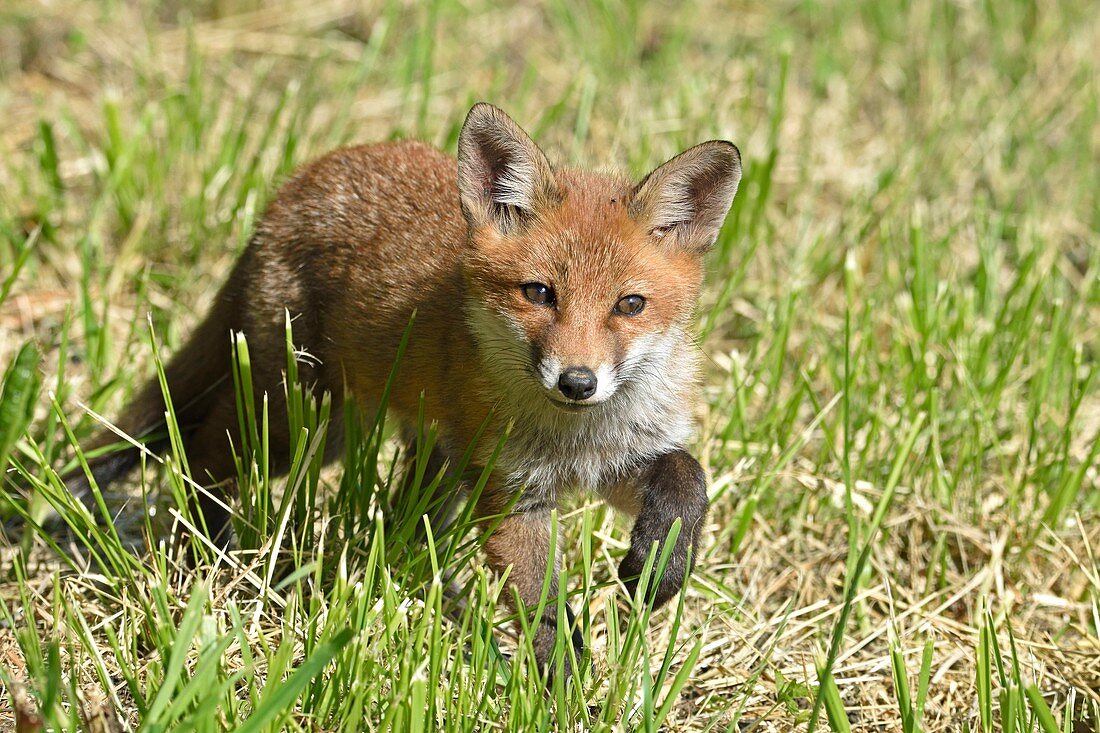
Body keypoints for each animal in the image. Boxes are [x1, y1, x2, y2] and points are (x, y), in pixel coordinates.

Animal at [68, 104, 739, 673]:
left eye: (630, 305)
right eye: (539, 293)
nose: (577, 381)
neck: (575, 436)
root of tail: (295, 186)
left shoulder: (620, 458)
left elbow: (688, 478)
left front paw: (659, 566)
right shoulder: (512, 493)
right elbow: (545, 610)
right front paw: (568, 693)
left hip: (416, 455)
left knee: (401, 521)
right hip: (302, 424)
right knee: (204, 452)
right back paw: (208, 553)